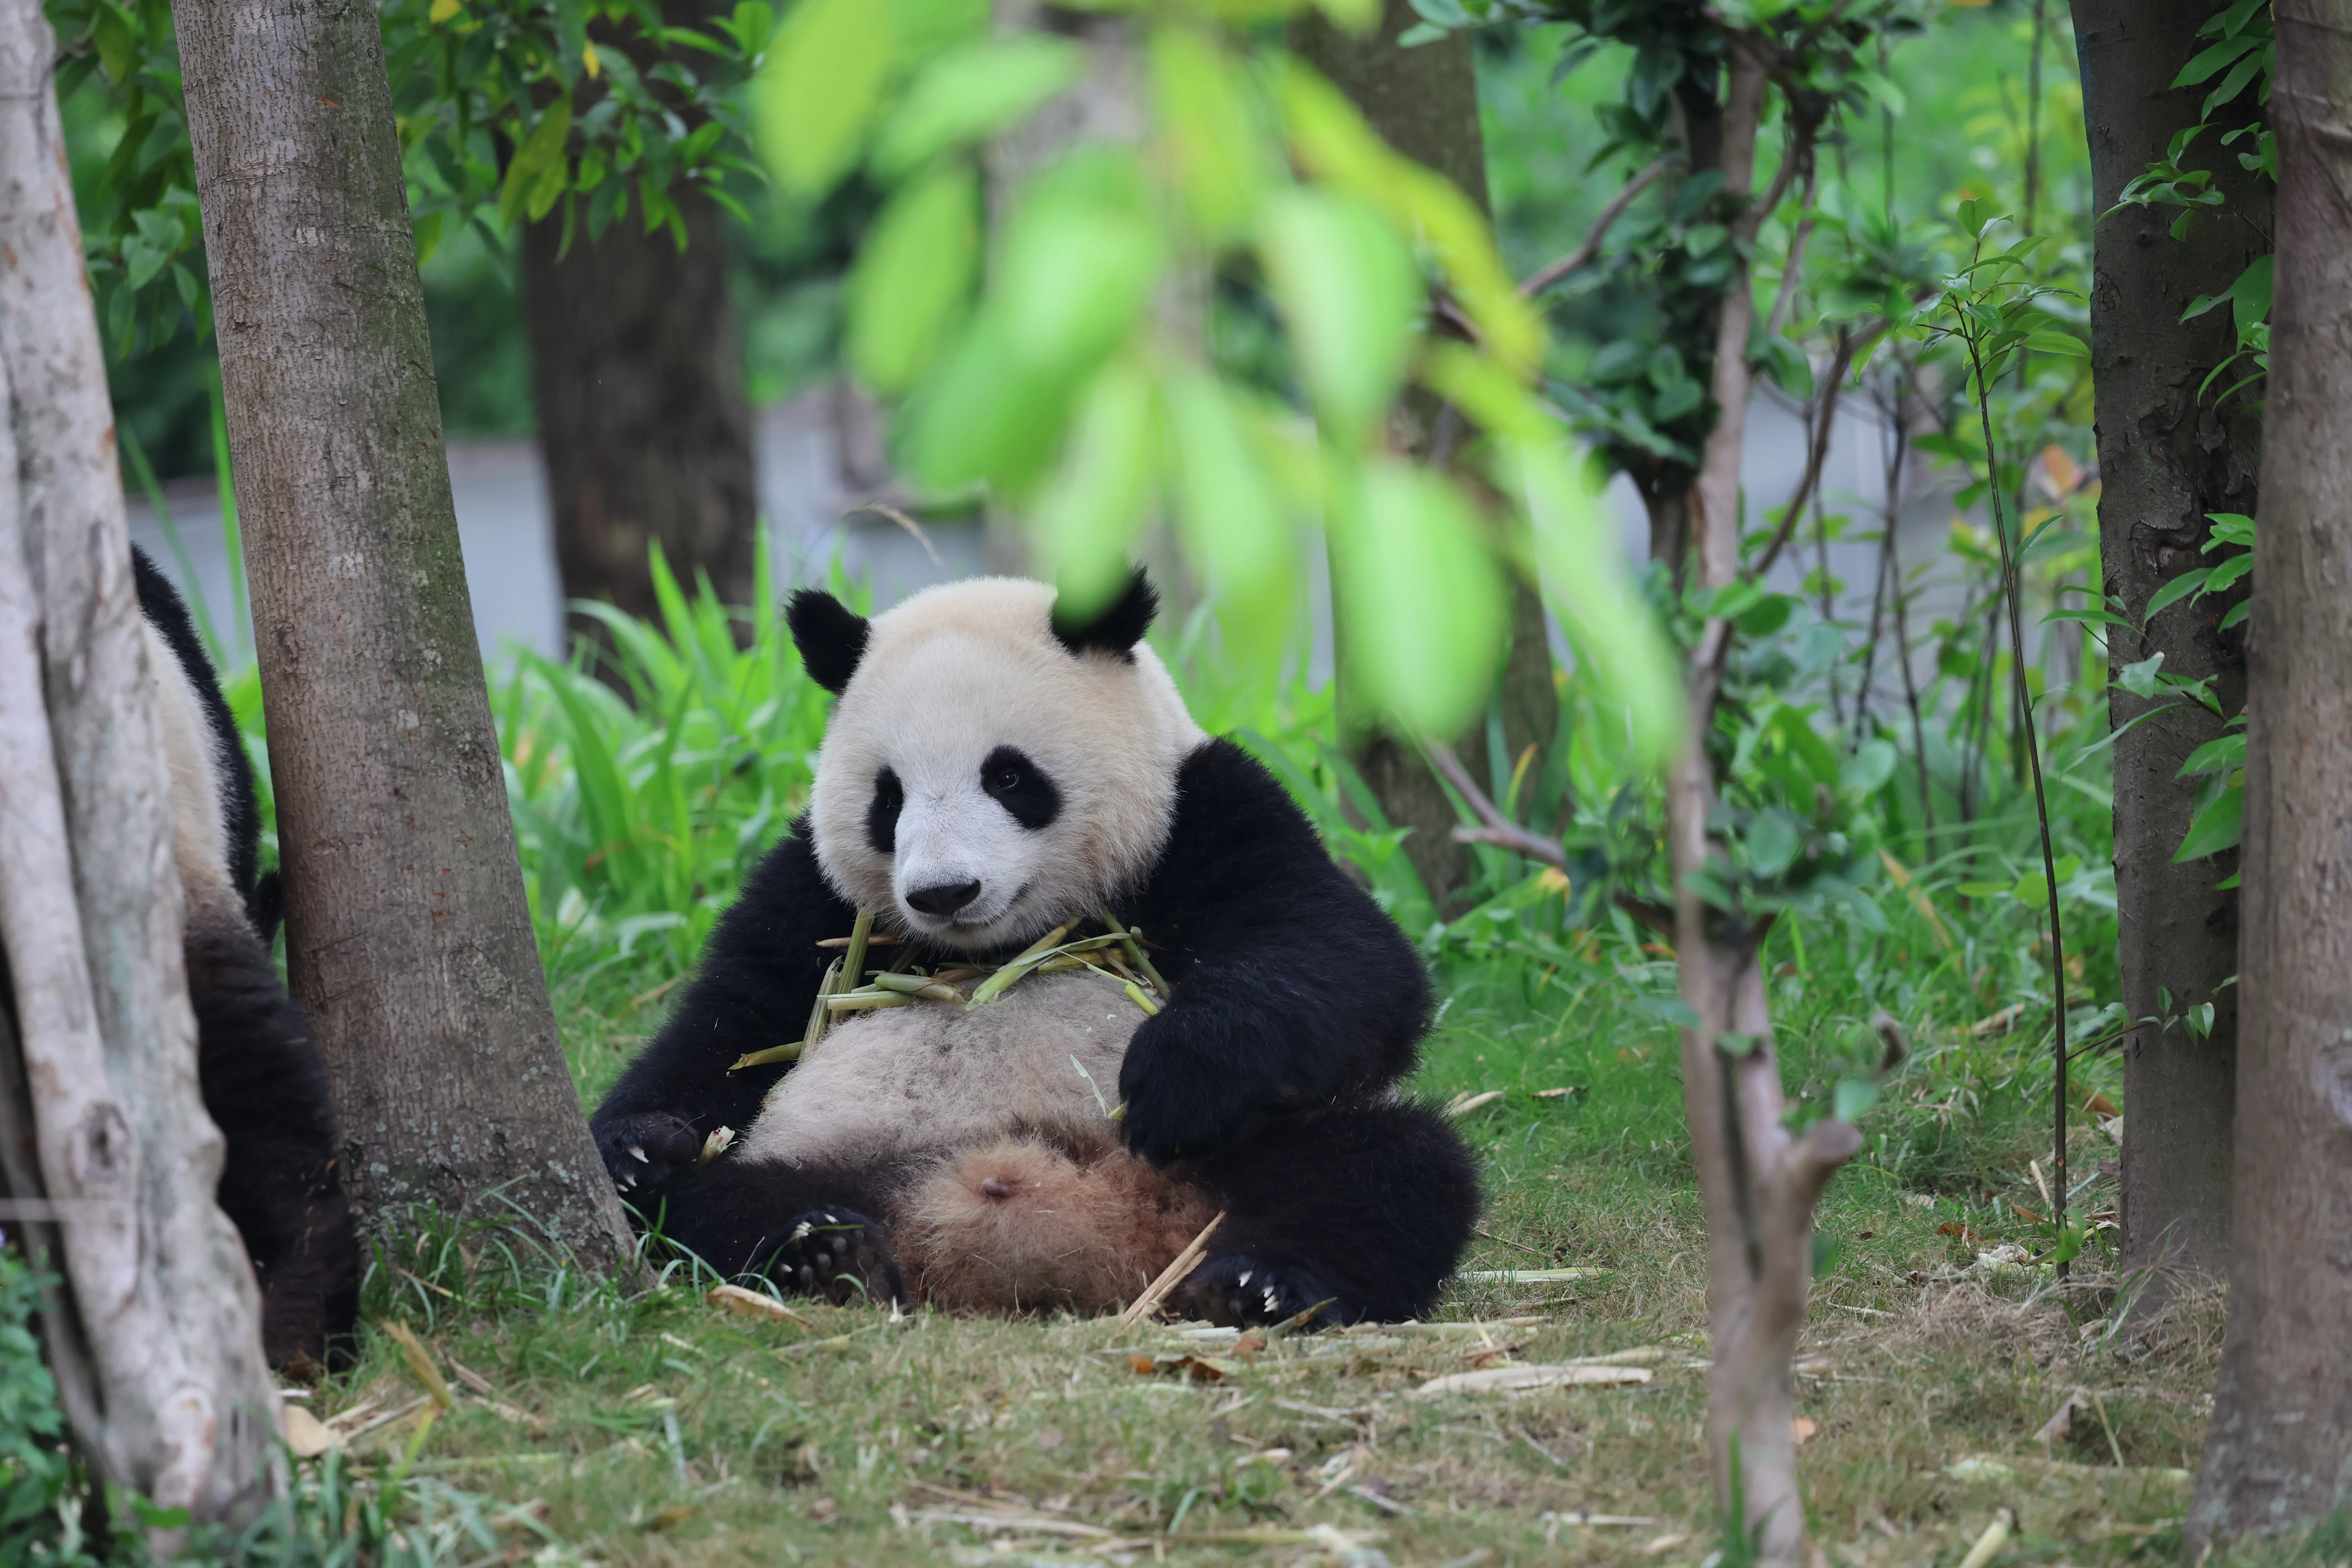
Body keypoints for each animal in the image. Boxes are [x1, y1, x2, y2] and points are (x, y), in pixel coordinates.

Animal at [591, 569, 1480, 1325]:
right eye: (889, 796)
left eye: (1010, 777)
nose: (943, 892)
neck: (1006, 944)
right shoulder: (817, 895)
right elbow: (734, 1022)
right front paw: (635, 1141)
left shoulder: (1200, 809)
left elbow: (1341, 956)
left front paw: (1176, 1076)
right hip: (842, 1156)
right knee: (701, 1206)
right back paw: (820, 1249)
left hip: (1224, 1162)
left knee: (1388, 1167)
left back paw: (1259, 1285)